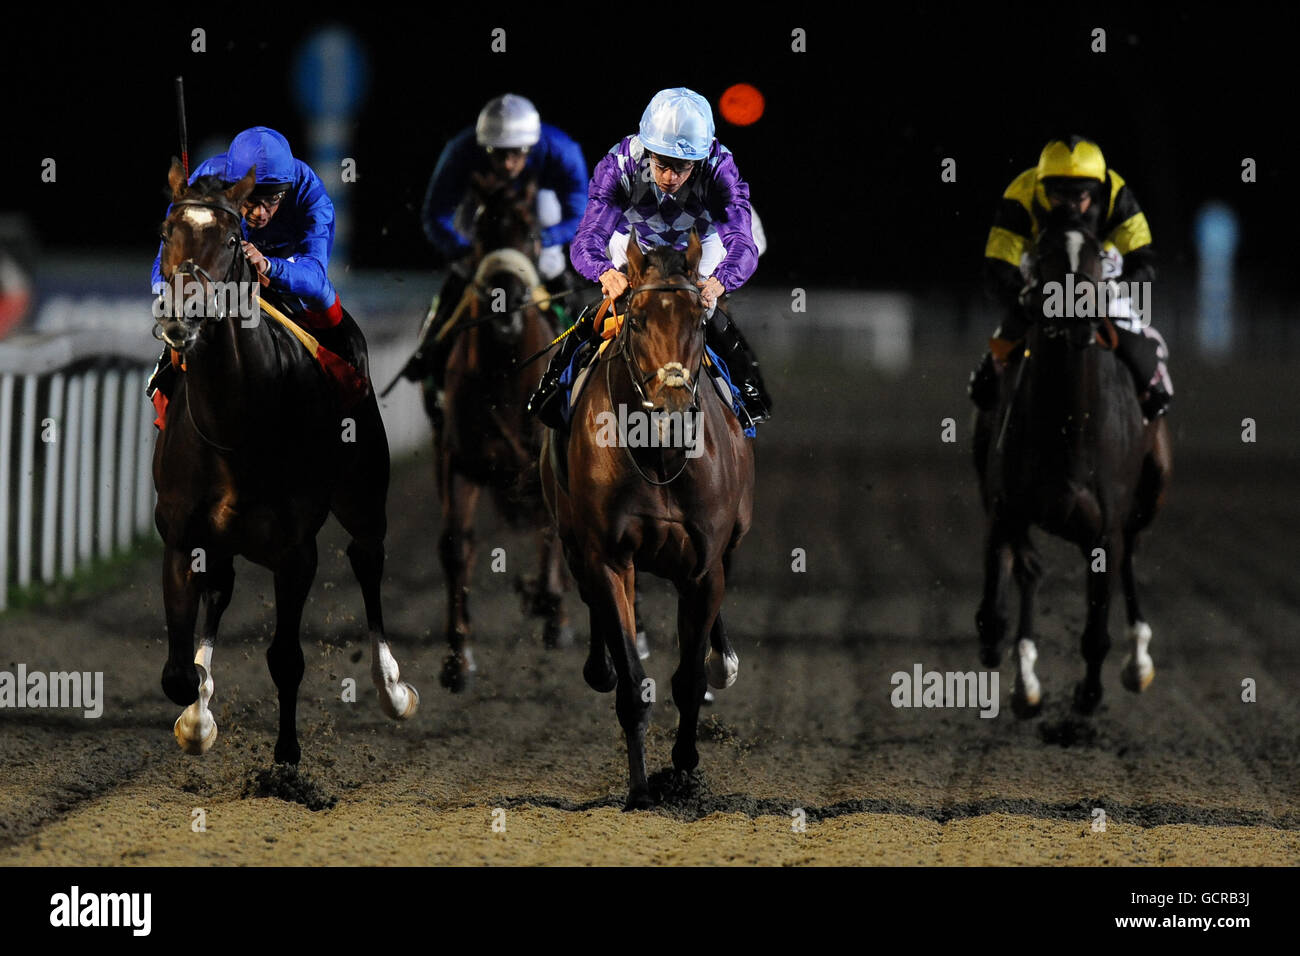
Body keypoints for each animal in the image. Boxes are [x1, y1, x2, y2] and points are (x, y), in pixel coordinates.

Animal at [152, 162, 418, 764]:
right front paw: (197, 718)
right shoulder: (181, 536)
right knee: (221, 591)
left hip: (364, 496)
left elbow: (286, 659)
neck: (233, 425)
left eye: (231, 240)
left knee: (368, 559)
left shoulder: (296, 551)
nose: (181, 320)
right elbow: (179, 672)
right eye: (167, 232)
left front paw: (286, 757)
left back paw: (392, 688)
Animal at [428, 175, 572, 691]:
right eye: (482, 232)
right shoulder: (458, 460)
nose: (505, 307)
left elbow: (555, 527)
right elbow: (456, 546)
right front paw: (457, 657)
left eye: (532, 233)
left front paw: (545, 601)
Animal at [977, 213, 1170, 712]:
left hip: (1152, 490)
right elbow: (1014, 583)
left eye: (1098, 254)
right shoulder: (1009, 506)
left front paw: (1088, 693)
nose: (1077, 315)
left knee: (1131, 553)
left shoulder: (1106, 527)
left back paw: (1138, 661)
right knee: (1015, 563)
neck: (1068, 428)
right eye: (1043, 252)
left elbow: (1097, 624)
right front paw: (1022, 676)